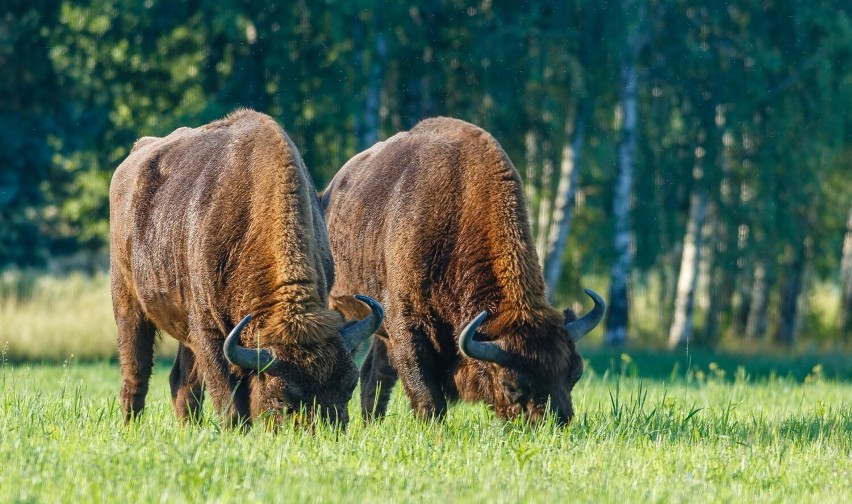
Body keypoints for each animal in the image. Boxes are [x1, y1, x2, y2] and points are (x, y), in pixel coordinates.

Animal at [110, 110, 382, 430]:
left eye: (349, 386)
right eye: (282, 398)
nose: (325, 431)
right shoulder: (209, 332)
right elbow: (228, 397)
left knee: (182, 382)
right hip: (128, 305)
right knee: (135, 374)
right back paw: (131, 424)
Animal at [322, 117, 604, 426]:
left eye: (575, 373)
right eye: (510, 386)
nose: (555, 423)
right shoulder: (407, 325)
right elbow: (426, 393)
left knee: (375, 371)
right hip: (344, 310)